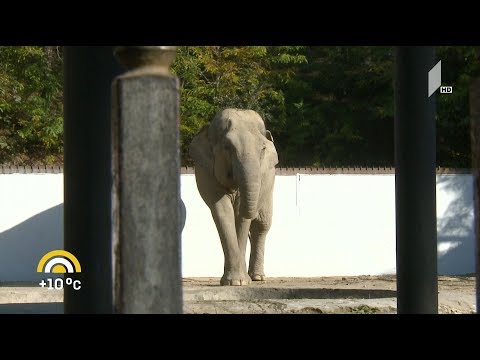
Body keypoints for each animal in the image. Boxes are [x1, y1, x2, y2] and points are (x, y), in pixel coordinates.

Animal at [188, 108, 278, 286]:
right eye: (227, 147)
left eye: (263, 149)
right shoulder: (207, 172)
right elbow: (222, 210)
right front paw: (235, 281)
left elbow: (241, 216)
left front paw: (241, 282)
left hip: (269, 185)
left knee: (262, 225)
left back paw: (257, 278)